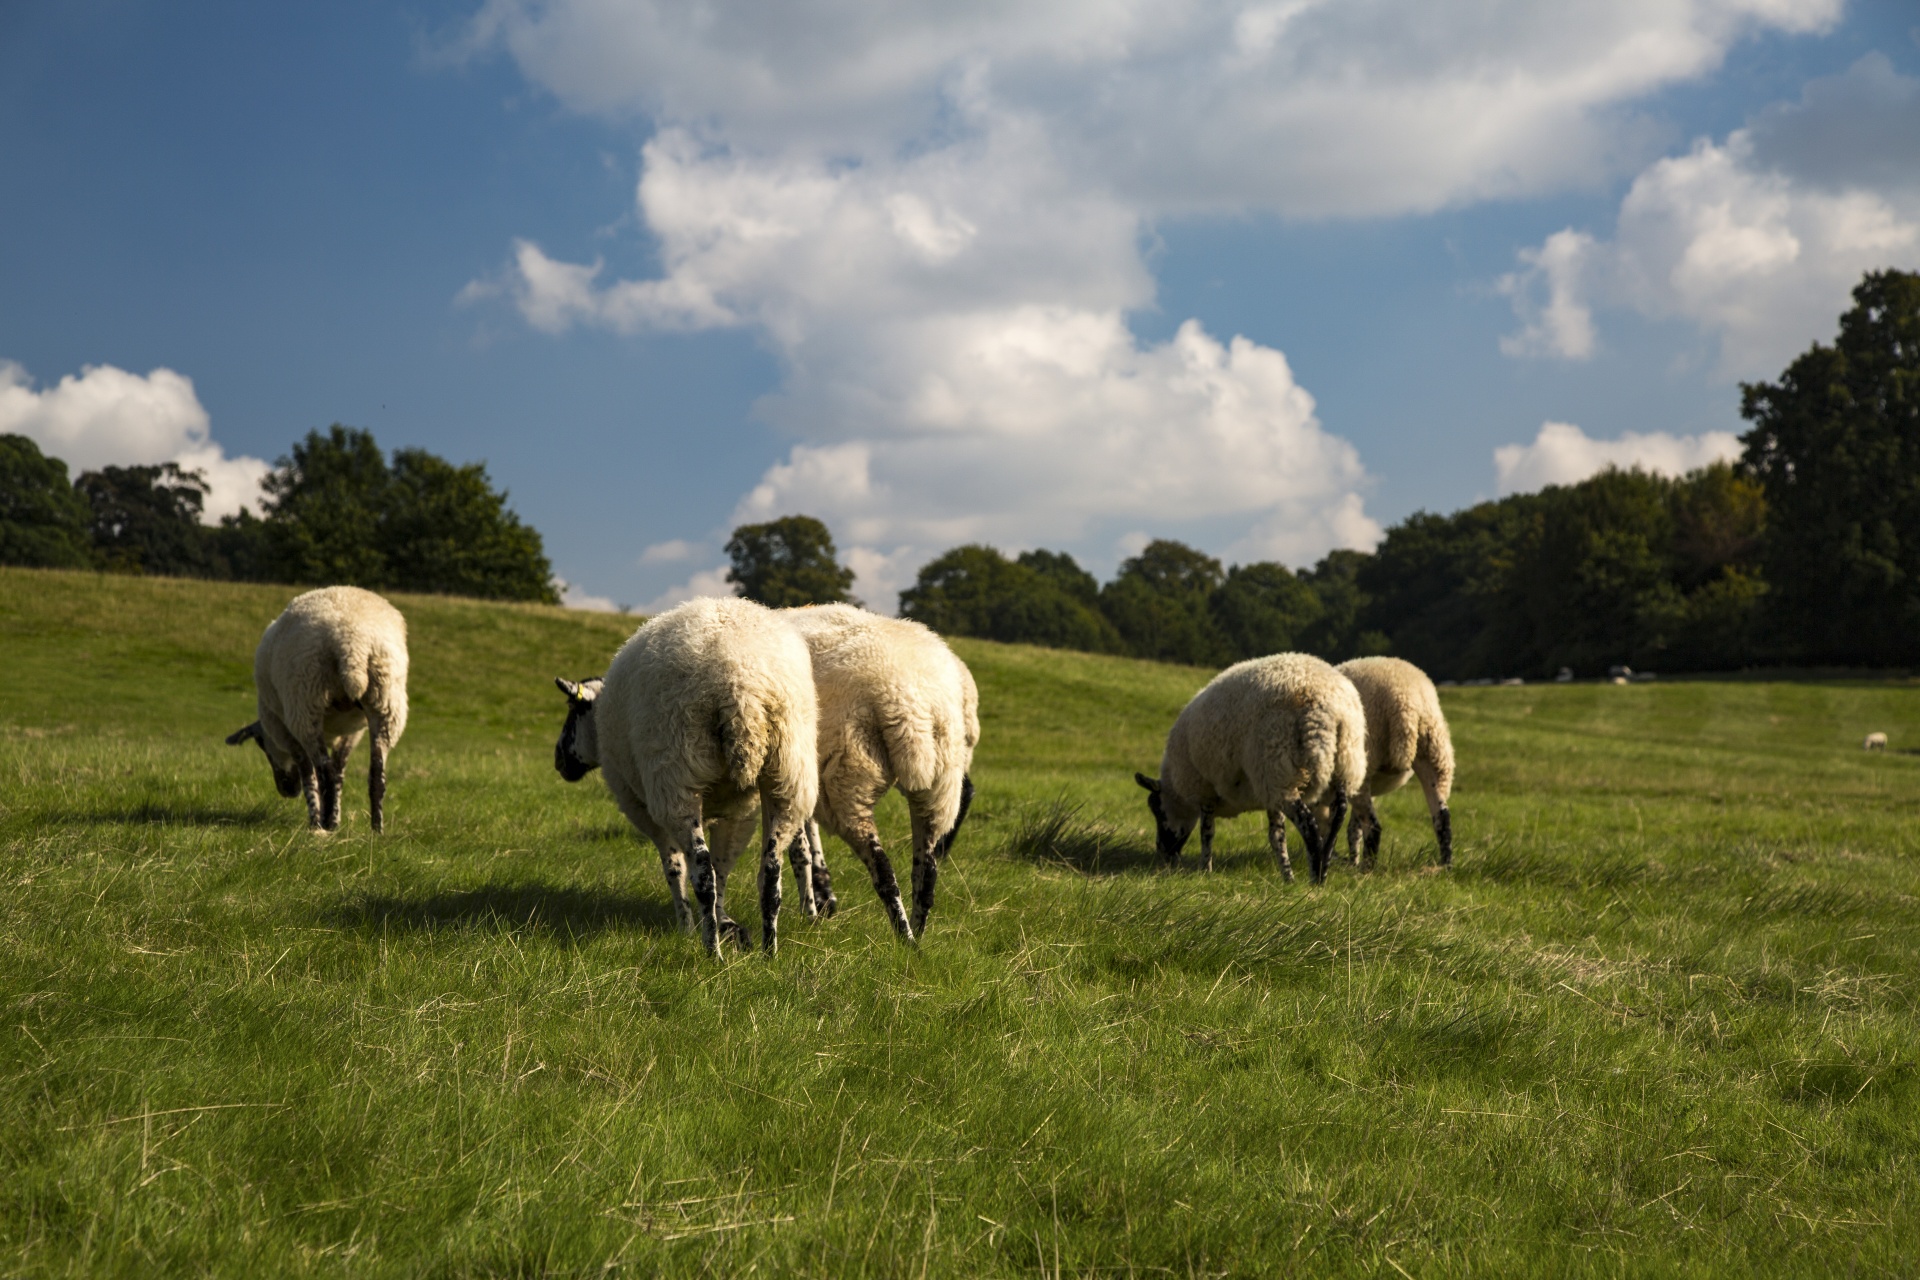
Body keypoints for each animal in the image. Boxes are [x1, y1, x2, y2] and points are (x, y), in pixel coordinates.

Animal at [222, 587, 407, 836]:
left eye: (262, 744)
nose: (287, 790)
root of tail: (352, 643)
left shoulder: (288, 734)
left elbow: (309, 775)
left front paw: (317, 821)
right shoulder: (350, 734)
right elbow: (339, 774)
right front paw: (335, 819)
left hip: (305, 703)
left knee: (323, 772)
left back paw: (325, 827)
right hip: (386, 702)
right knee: (376, 773)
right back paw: (376, 830)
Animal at [556, 594, 825, 955]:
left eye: (573, 712)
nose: (559, 760)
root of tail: (740, 683)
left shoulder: (641, 807)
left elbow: (675, 867)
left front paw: (686, 926)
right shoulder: (738, 811)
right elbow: (724, 866)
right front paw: (725, 923)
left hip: (675, 777)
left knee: (701, 872)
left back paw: (713, 953)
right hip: (787, 774)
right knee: (769, 871)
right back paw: (769, 951)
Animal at [783, 602, 983, 940]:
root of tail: (909, 703)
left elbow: (799, 849)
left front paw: (811, 909)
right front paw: (823, 897)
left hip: (850, 779)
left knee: (884, 869)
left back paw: (905, 938)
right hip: (940, 782)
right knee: (926, 872)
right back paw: (917, 936)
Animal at [1128, 656, 1374, 886]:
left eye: (1156, 809)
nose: (1163, 853)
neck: (1177, 789)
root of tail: (1331, 709)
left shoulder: (1204, 789)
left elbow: (1207, 833)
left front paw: (1205, 870)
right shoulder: (1268, 796)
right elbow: (1277, 837)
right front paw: (1288, 879)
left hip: (1278, 766)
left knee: (1309, 825)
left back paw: (1316, 879)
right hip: (1344, 763)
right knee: (1337, 816)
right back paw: (1324, 867)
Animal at [1336, 660, 1451, 871]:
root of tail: (1405, 702)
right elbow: (1353, 827)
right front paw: (1351, 859)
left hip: (1365, 759)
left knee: (1373, 826)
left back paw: (1366, 869)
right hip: (1434, 751)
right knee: (1442, 817)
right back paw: (1445, 867)